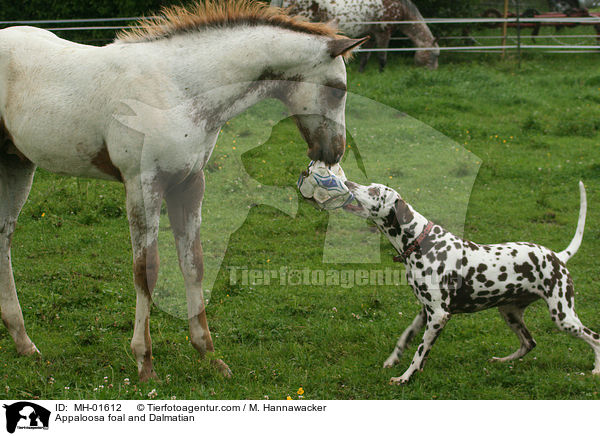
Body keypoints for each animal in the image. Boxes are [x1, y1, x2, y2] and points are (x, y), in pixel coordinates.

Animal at [0, 0, 366, 380]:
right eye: (338, 89)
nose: (333, 152)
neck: (180, 88)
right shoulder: (143, 185)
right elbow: (147, 269)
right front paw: (144, 361)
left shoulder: (190, 183)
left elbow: (194, 264)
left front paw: (209, 354)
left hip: (17, 164)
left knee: (4, 238)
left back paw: (24, 342)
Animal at [342, 179, 600, 384]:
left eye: (374, 191)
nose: (349, 182)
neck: (422, 242)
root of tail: (558, 256)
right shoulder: (426, 312)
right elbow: (406, 339)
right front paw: (394, 360)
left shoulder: (438, 316)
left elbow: (418, 352)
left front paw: (405, 377)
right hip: (510, 313)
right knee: (529, 343)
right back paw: (502, 360)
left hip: (563, 317)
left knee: (594, 338)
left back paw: (596, 370)